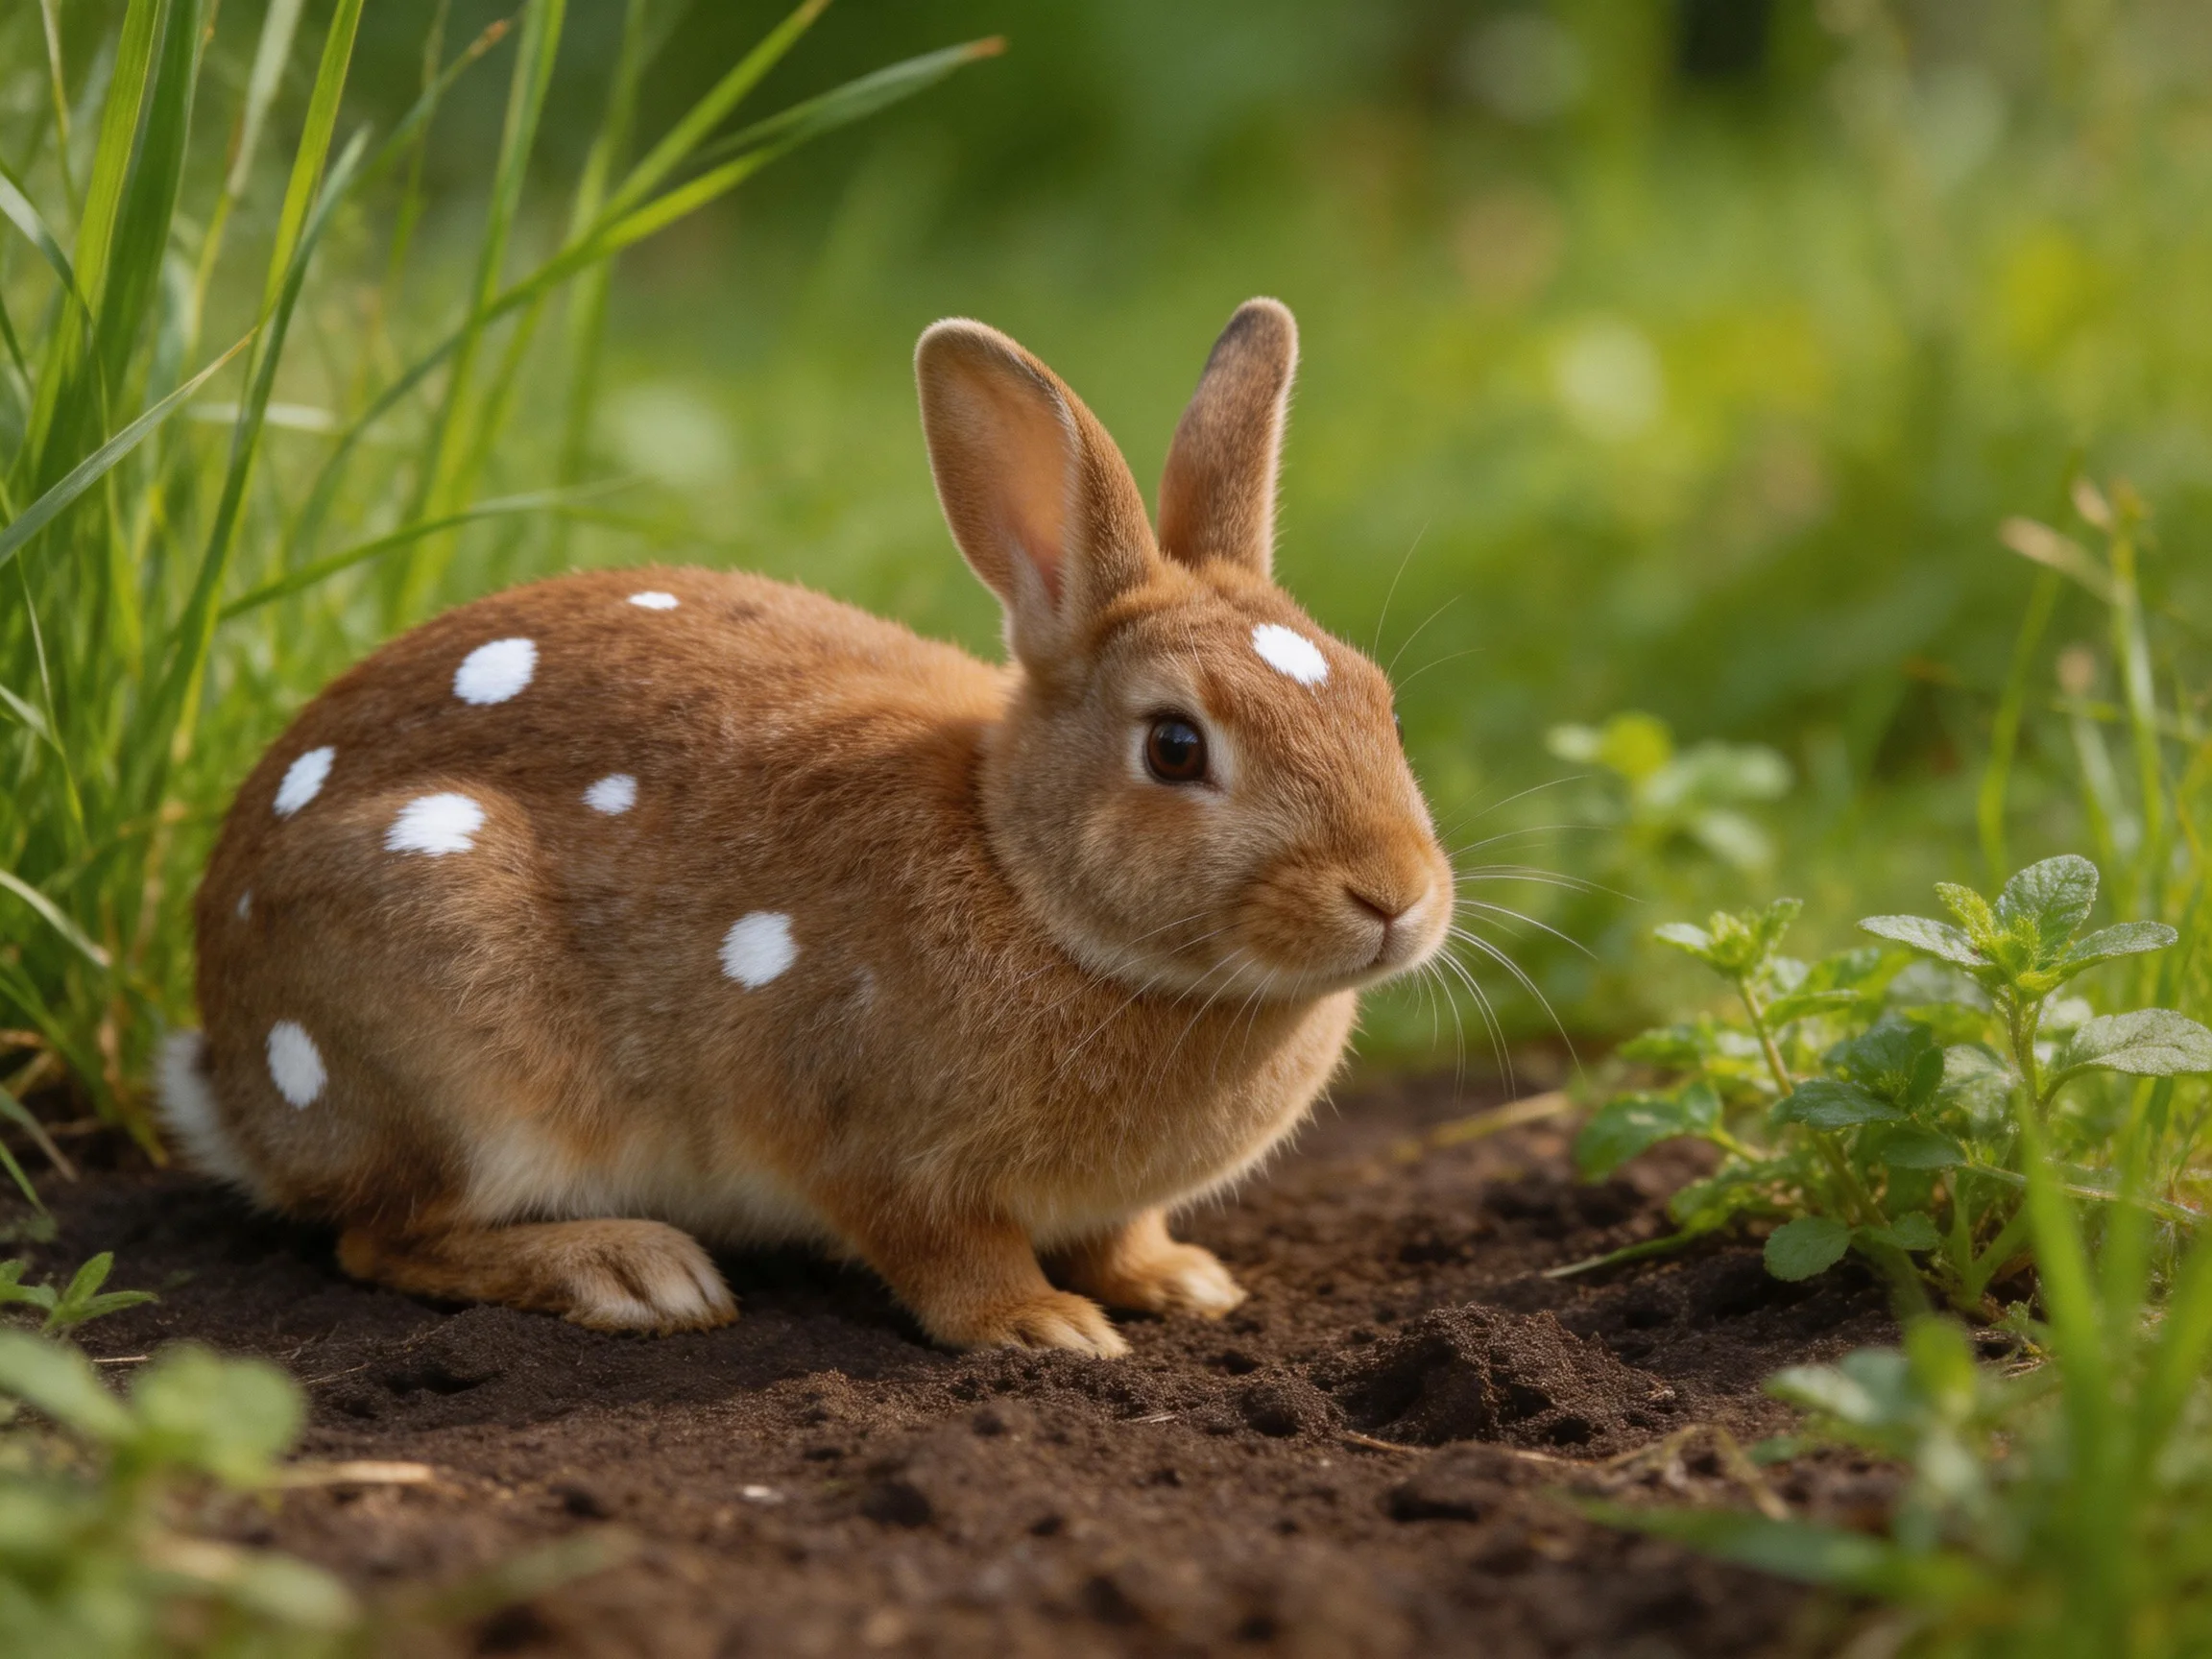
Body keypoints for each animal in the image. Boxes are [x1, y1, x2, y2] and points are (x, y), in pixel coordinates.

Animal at [158, 298, 1453, 1355]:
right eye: (1176, 747)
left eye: (1383, 703)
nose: (1394, 898)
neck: (1018, 874)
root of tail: (230, 1078)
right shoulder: (875, 1143)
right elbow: (945, 1251)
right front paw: (1043, 1326)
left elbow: (1122, 1233)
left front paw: (1183, 1284)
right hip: (444, 1012)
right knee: (380, 1236)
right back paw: (633, 1272)